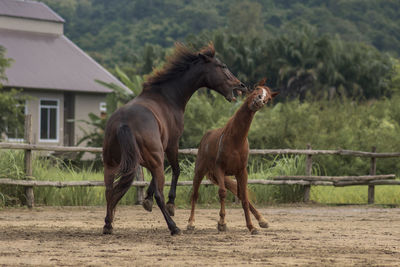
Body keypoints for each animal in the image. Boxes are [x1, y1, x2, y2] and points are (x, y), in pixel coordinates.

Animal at [101, 42, 248, 237]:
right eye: (222, 66)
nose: (242, 86)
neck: (167, 97)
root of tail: (124, 123)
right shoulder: (171, 145)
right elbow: (176, 171)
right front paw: (168, 204)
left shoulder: (156, 154)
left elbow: (154, 180)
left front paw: (146, 200)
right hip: (153, 158)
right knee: (159, 194)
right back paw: (173, 227)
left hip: (111, 165)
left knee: (109, 191)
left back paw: (108, 224)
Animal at [186, 79, 276, 234]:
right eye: (257, 89)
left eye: (269, 98)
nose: (259, 101)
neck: (235, 140)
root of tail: (206, 137)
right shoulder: (219, 169)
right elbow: (222, 193)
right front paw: (222, 223)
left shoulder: (241, 172)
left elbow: (244, 198)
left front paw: (252, 227)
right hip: (199, 171)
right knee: (195, 195)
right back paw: (191, 223)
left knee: (239, 194)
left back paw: (262, 220)